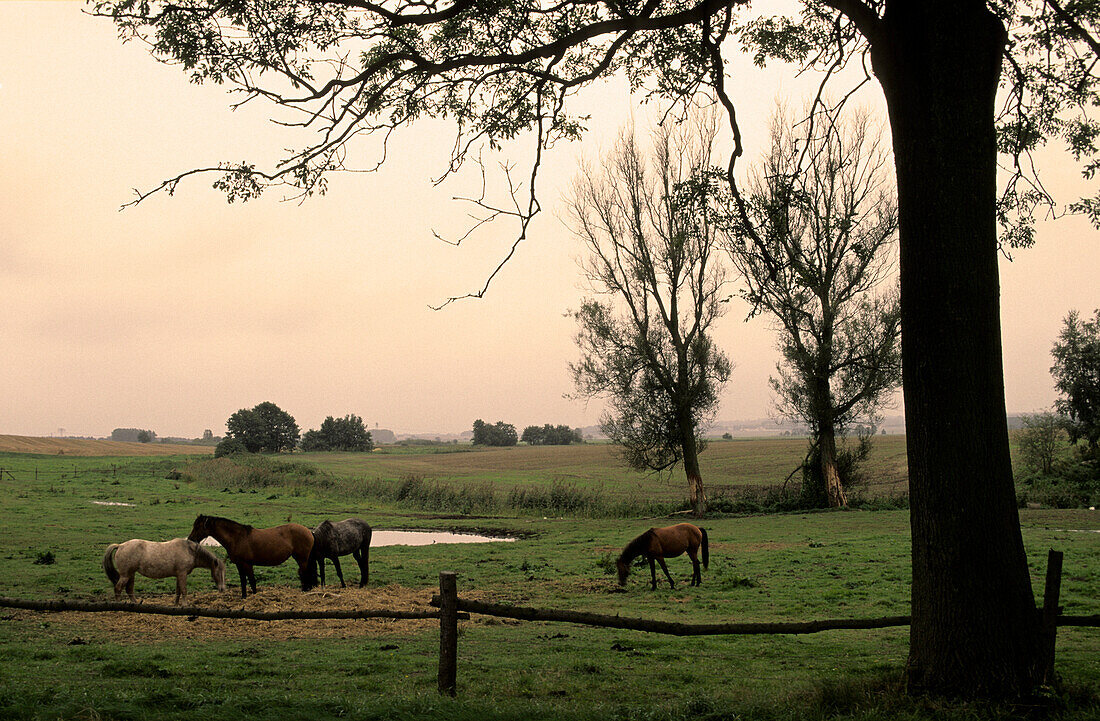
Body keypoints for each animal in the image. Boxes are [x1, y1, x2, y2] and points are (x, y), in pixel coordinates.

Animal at [187, 515, 316, 598]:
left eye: (198, 526)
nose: (190, 539)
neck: (237, 538)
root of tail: (309, 531)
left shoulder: (247, 564)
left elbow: (252, 580)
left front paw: (254, 596)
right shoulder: (239, 565)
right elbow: (243, 580)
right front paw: (244, 596)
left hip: (302, 559)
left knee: (304, 573)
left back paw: (304, 591)